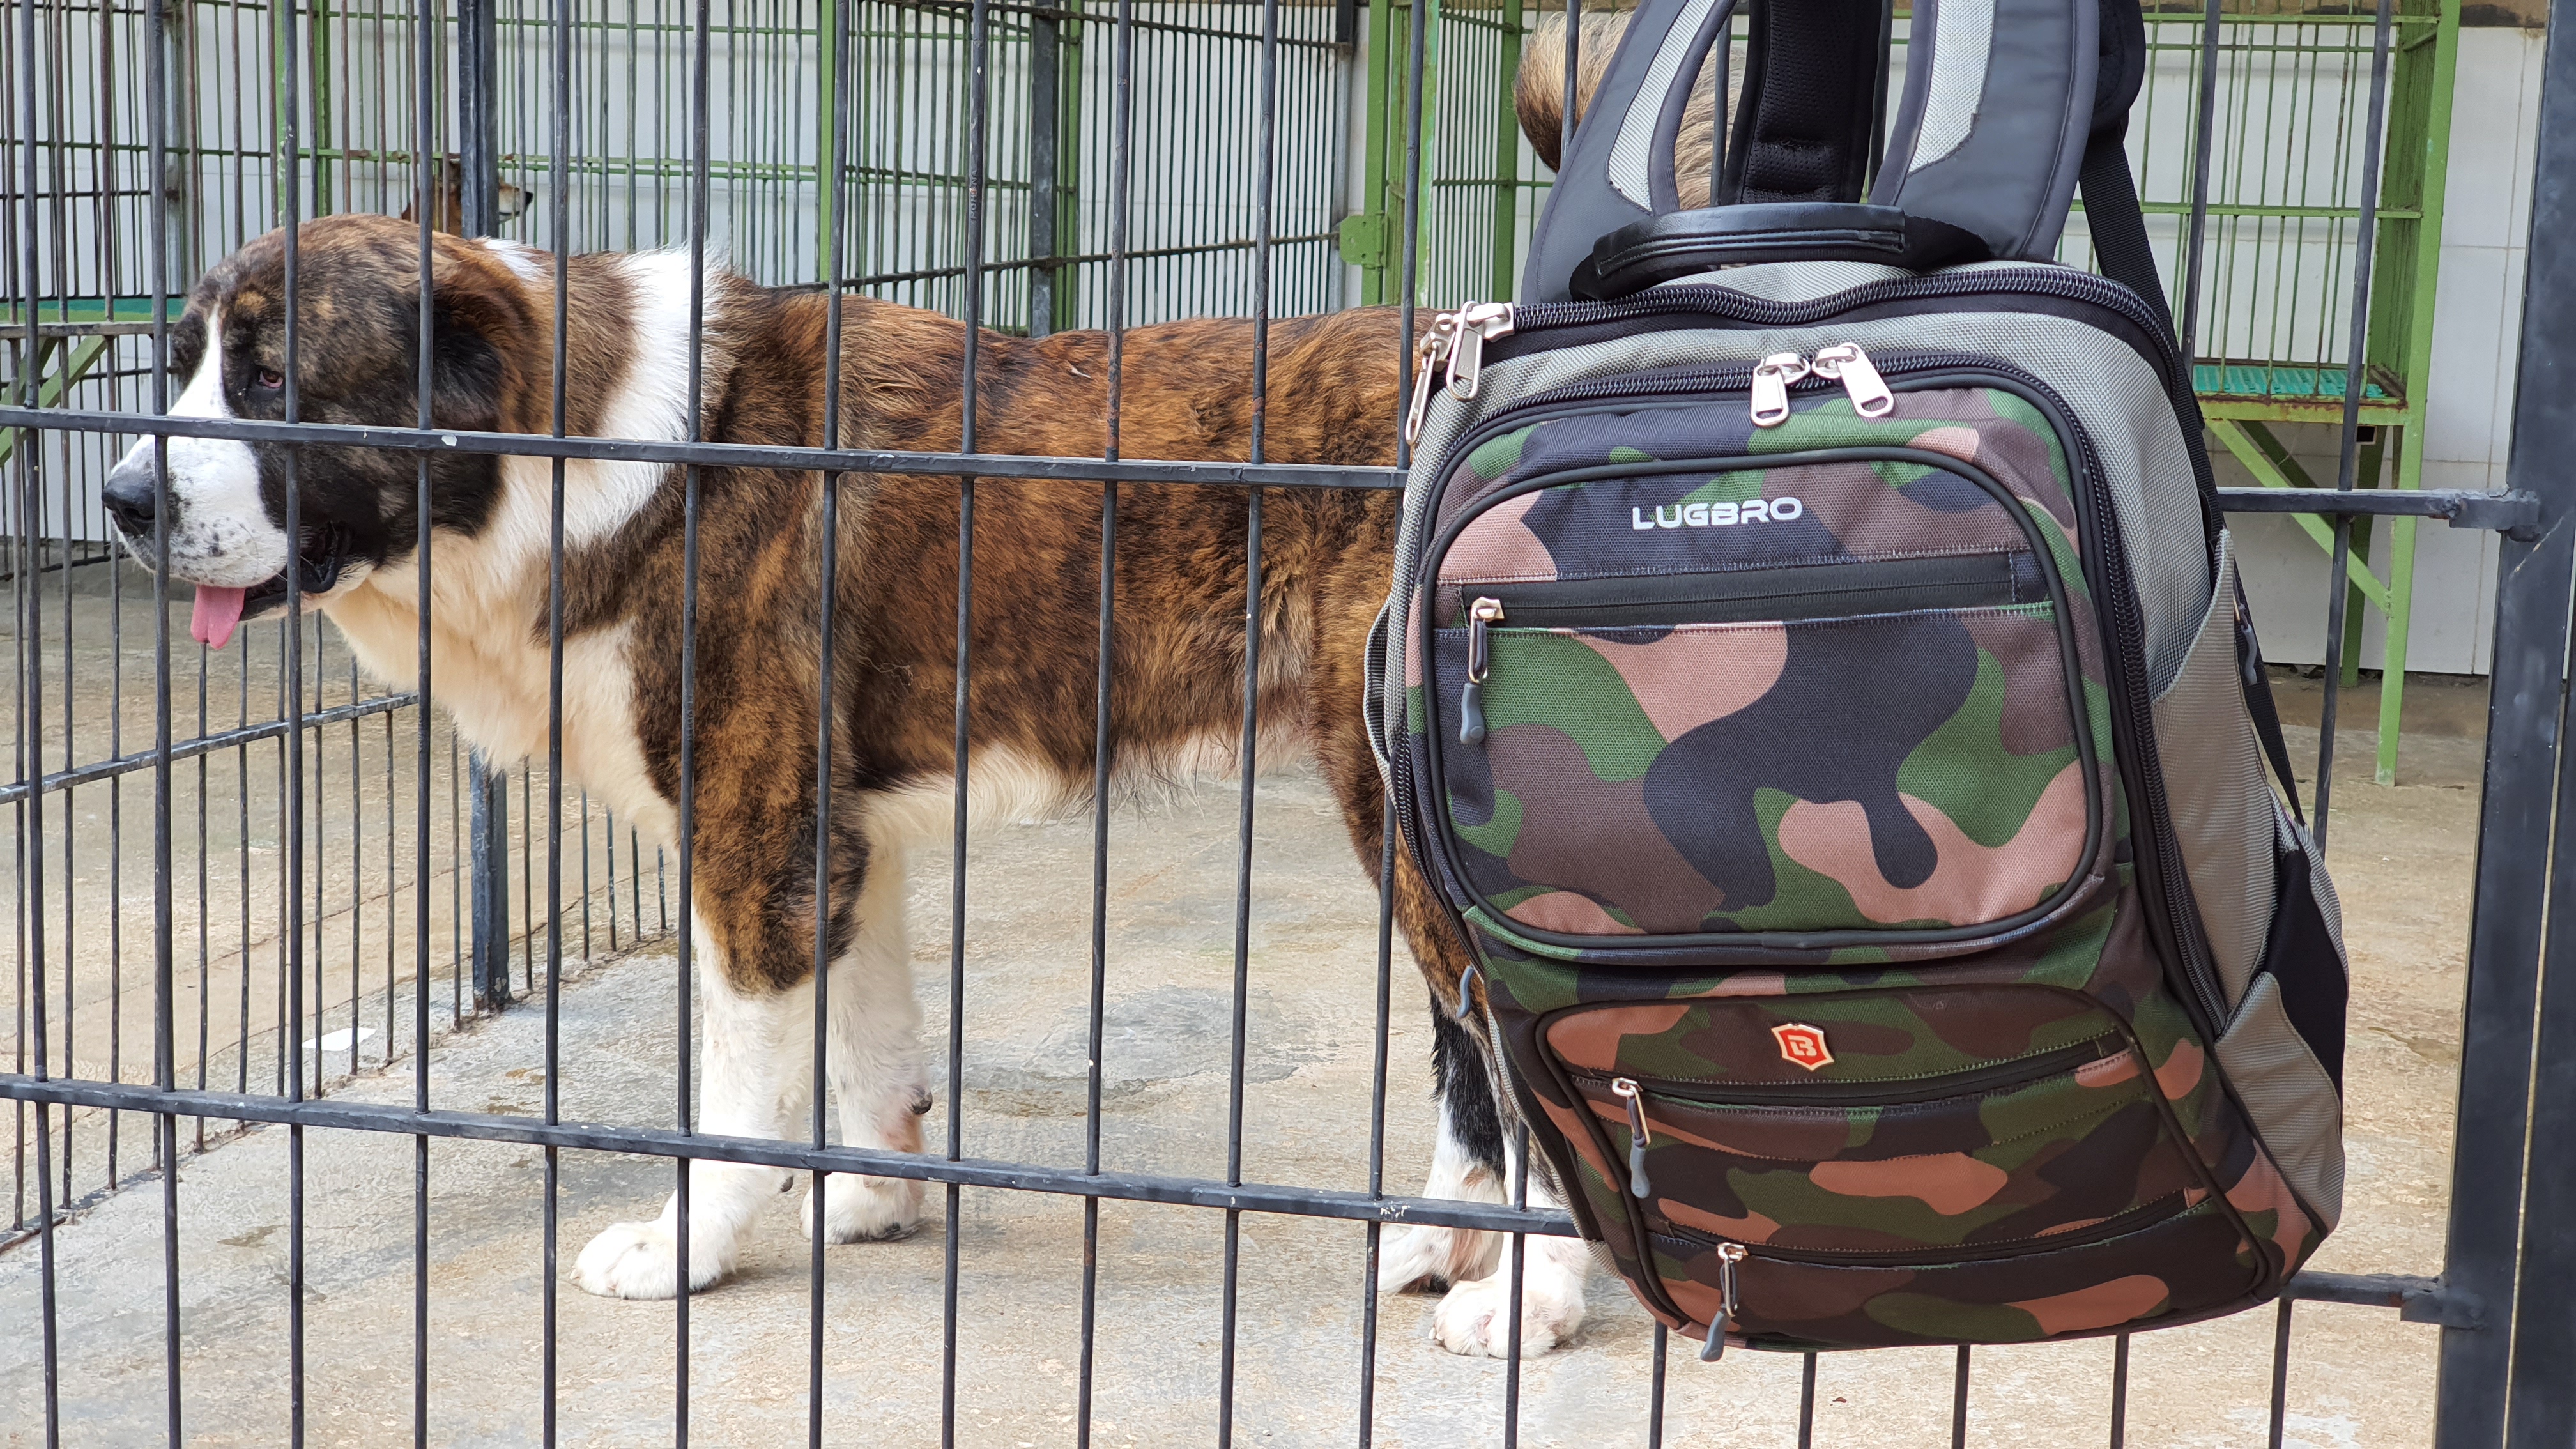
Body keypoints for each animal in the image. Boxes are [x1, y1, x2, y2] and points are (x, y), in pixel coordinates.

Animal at [96, 216, 1589, 1356]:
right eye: (182, 368)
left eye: (273, 380)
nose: (118, 499)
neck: (584, 455)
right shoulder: (842, 836)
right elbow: (869, 1041)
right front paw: (873, 1200)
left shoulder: (752, 845)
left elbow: (737, 1094)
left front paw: (690, 1248)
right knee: (1472, 1056)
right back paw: (1451, 1239)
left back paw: (1533, 1299)